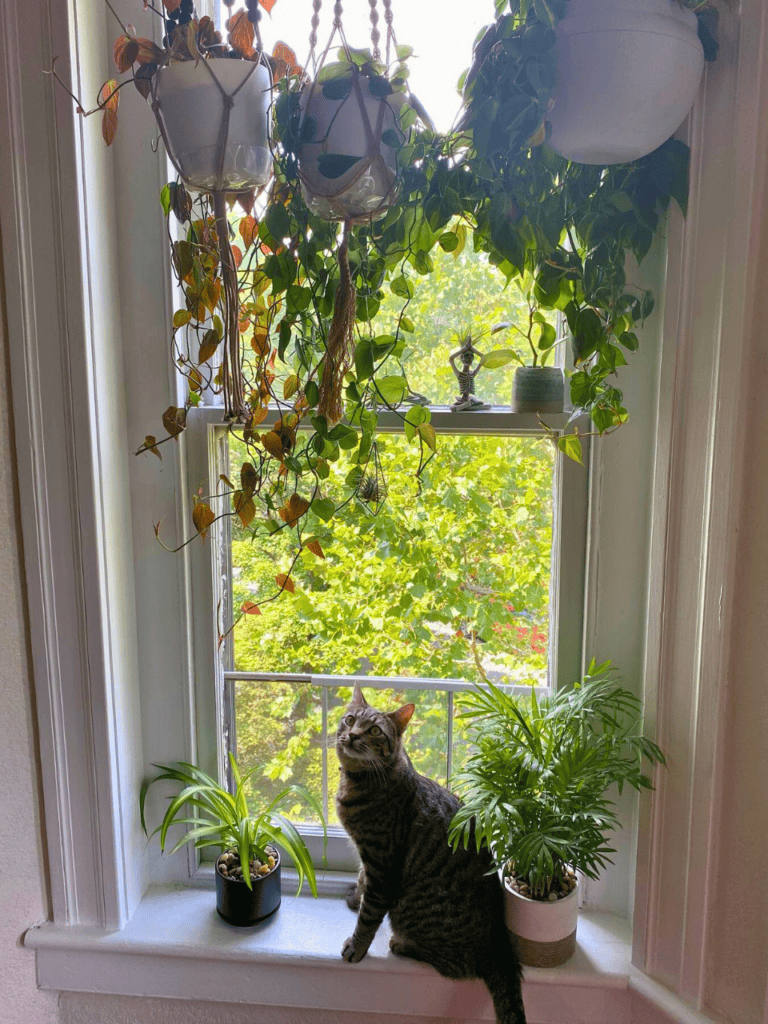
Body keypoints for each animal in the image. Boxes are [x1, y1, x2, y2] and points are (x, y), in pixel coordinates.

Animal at [335, 679, 528, 1024]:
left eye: (374, 731)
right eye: (350, 719)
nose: (353, 735)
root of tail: (497, 947)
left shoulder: (381, 861)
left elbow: (370, 913)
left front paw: (357, 946)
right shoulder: (367, 856)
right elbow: (361, 880)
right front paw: (355, 897)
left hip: (410, 911)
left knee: (457, 967)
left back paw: (402, 945)